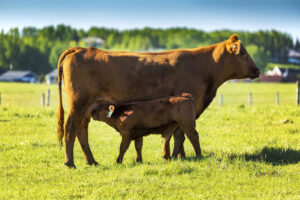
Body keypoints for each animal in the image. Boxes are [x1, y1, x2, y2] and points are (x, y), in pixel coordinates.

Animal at [57, 34, 258, 167]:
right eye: (243, 53)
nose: (257, 71)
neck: (203, 67)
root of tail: (82, 49)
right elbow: (180, 135)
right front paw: (179, 156)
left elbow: (176, 135)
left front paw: (175, 156)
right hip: (78, 105)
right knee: (70, 129)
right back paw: (69, 162)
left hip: (86, 109)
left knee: (81, 131)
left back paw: (91, 161)